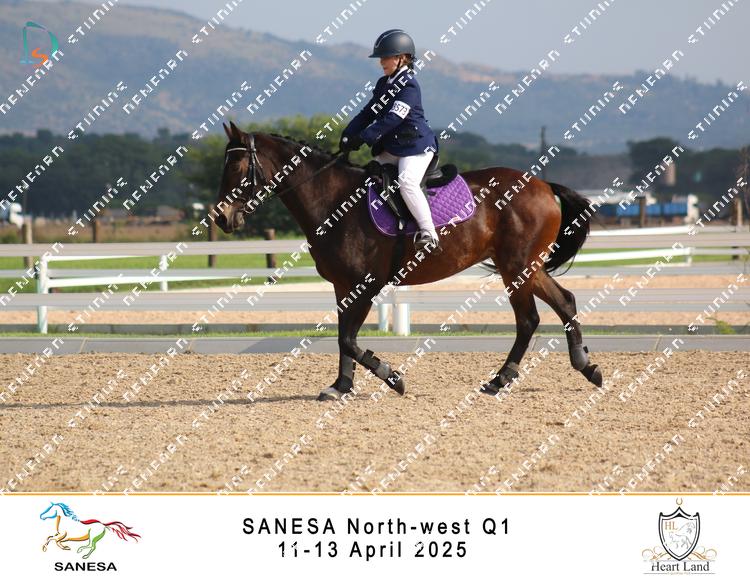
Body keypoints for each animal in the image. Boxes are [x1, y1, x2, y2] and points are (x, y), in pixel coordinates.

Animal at [213, 121, 603, 400]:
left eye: (239, 166)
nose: (222, 218)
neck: (333, 200)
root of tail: (544, 185)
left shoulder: (365, 285)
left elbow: (349, 340)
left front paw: (392, 378)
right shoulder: (343, 286)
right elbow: (342, 337)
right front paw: (340, 386)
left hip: (517, 268)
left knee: (528, 319)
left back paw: (502, 378)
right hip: (526, 268)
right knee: (563, 302)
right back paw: (584, 366)